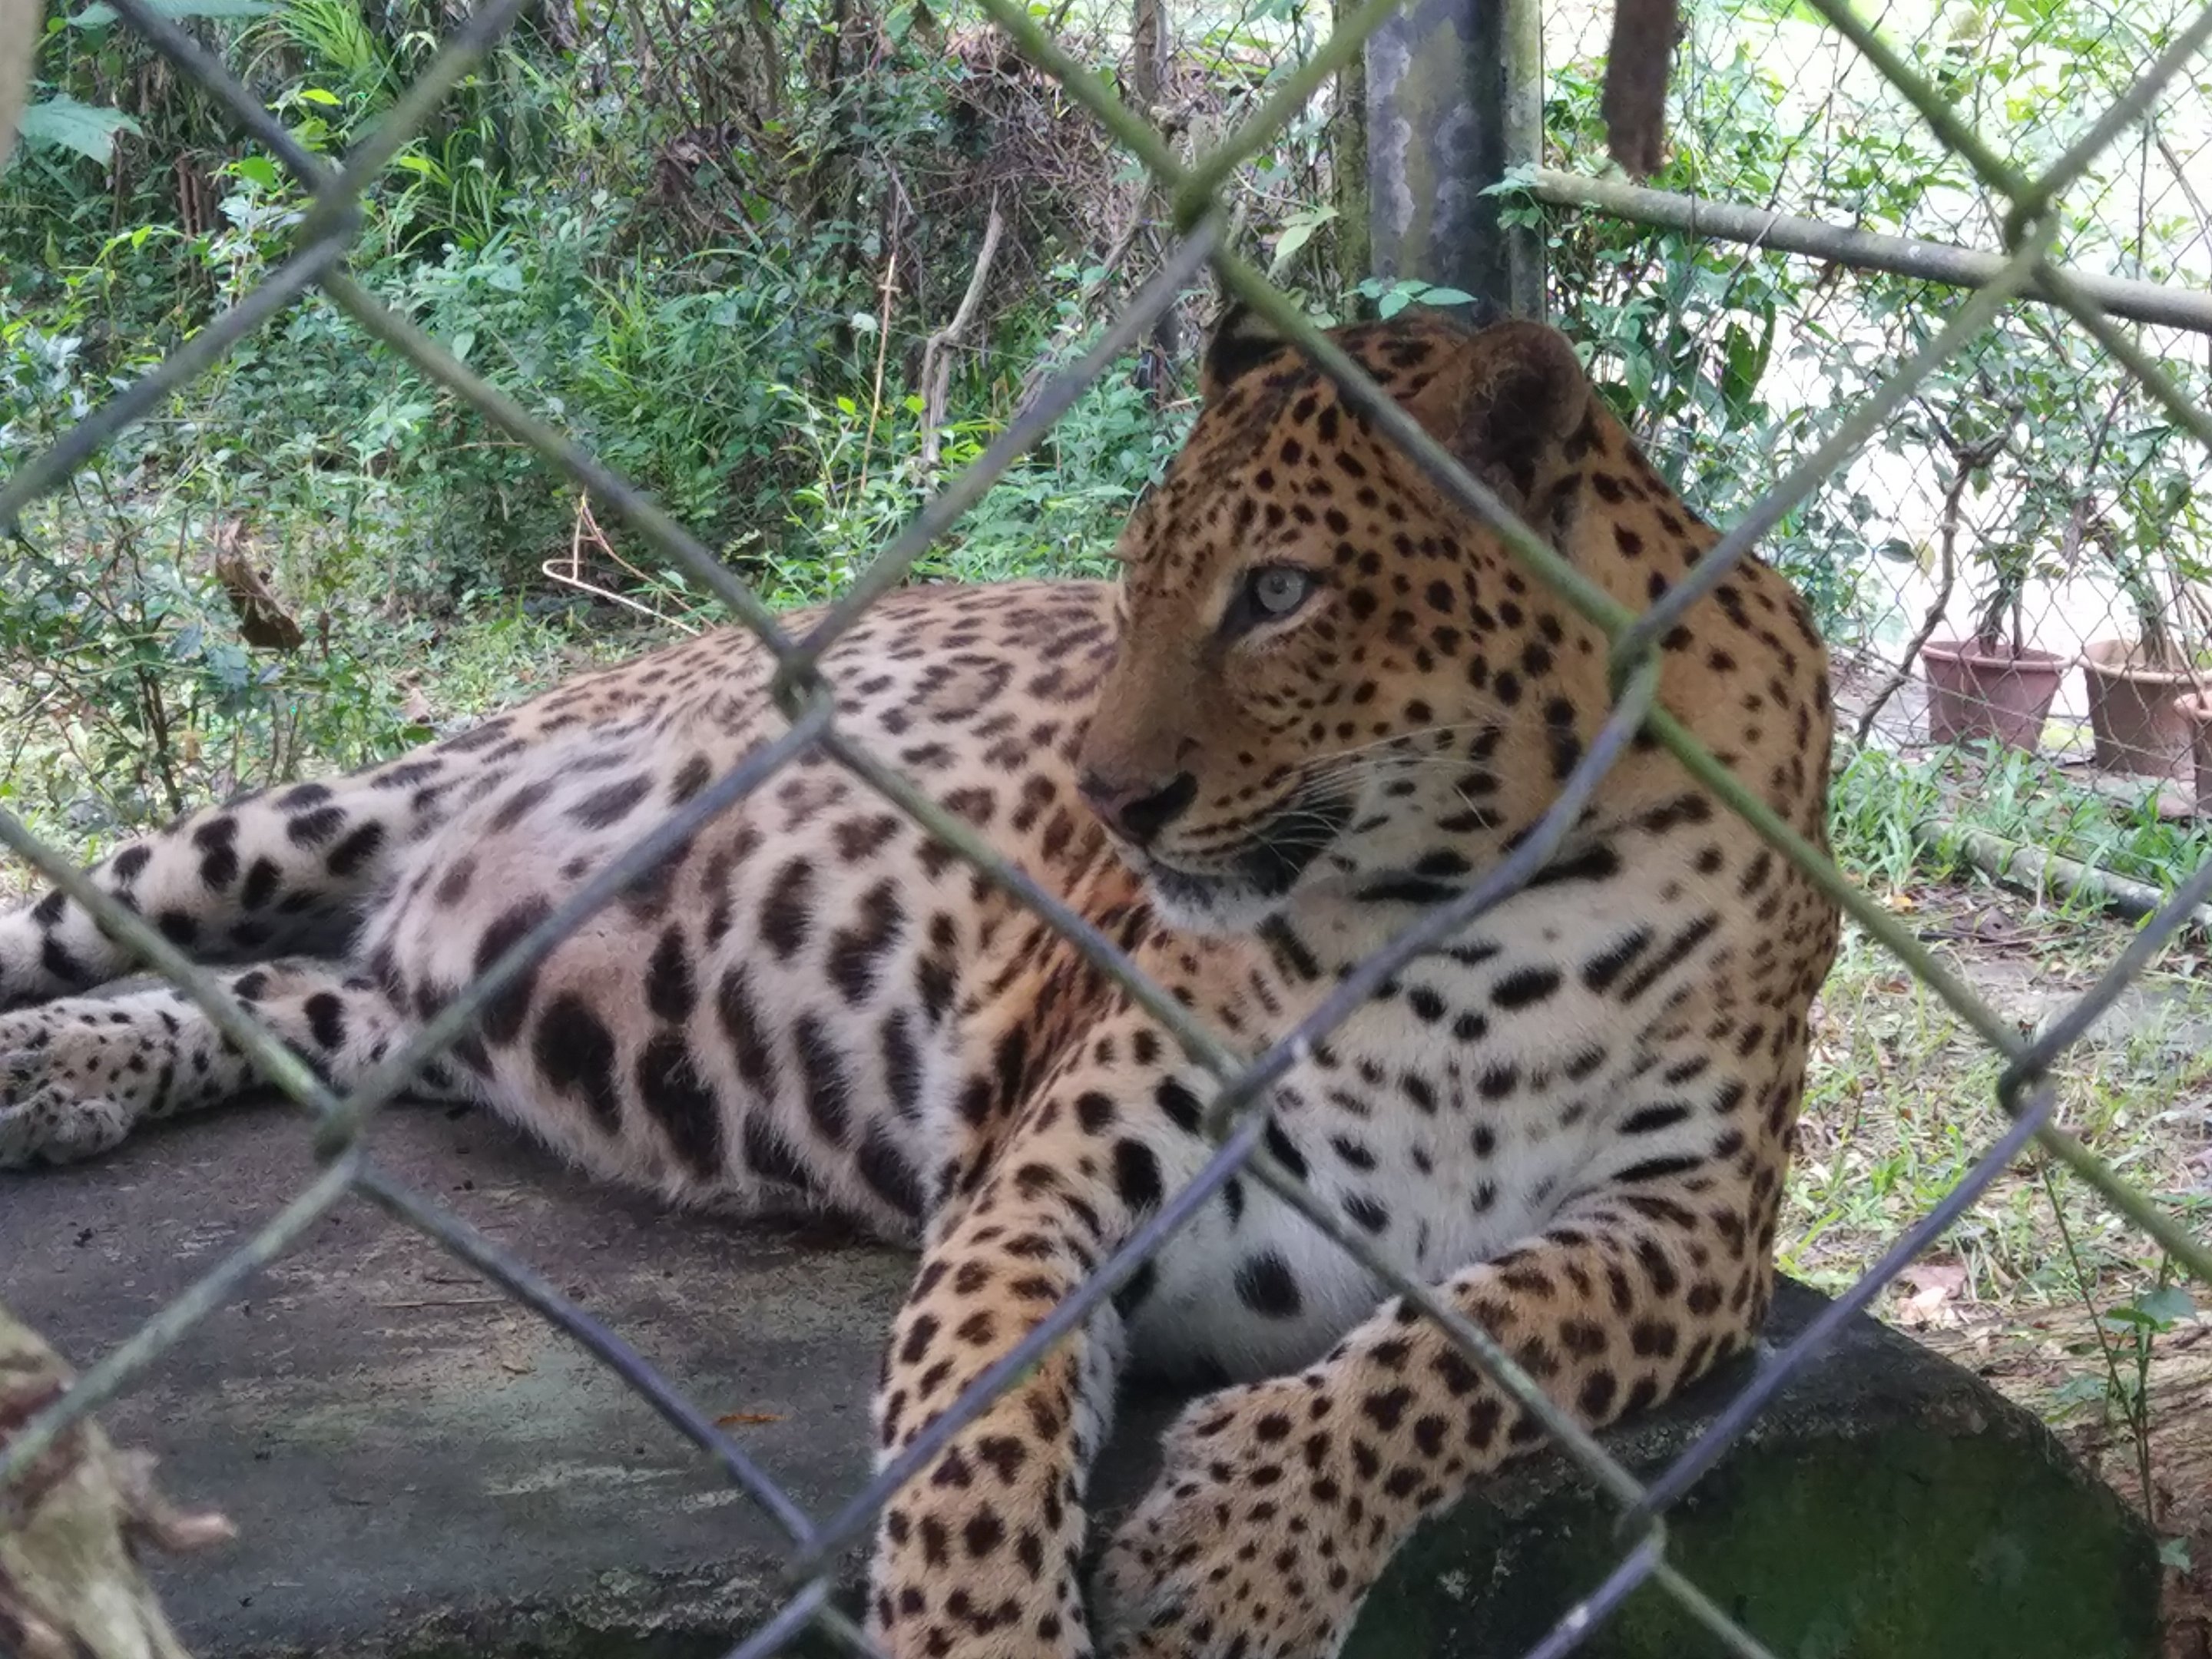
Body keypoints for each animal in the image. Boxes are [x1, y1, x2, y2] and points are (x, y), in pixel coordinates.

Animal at [0, 302, 1840, 1659]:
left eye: (1280, 594)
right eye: (1131, 586)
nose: (1108, 800)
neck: (1454, 903)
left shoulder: (1700, 1232)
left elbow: (1486, 1343)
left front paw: (1245, 1546)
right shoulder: (1054, 1181)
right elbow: (981, 1435)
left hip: (420, 998)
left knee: (278, 995)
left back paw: (63, 1073)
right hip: (319, 814)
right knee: (113, 911)